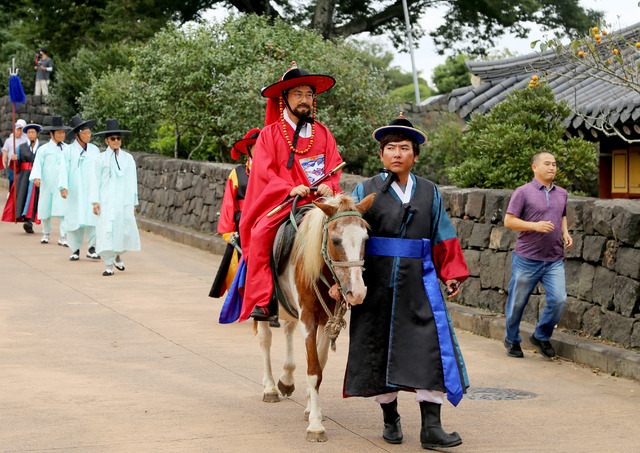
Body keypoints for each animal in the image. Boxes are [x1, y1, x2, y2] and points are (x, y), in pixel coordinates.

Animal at [255, 192, 376, 440]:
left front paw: (312, 410)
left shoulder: (327, 319)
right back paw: (270, 388)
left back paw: (287, 378)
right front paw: (316, 425)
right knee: (265, 340)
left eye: (365, 240)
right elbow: (313, 370)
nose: (358, 292)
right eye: (336, 240)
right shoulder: (309, 317)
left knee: (288, 330)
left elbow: (320, 364)